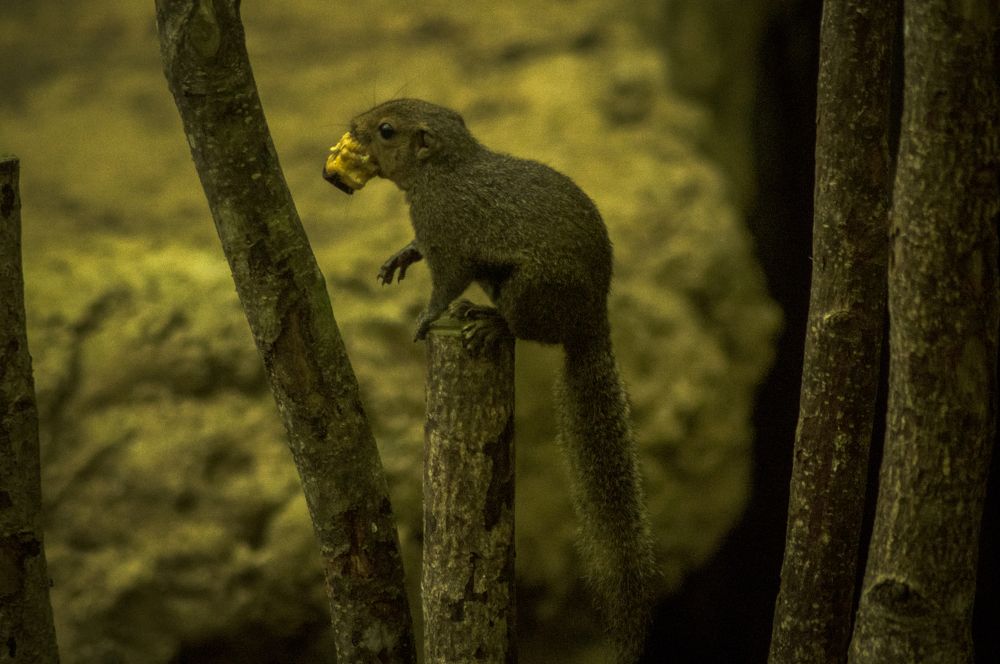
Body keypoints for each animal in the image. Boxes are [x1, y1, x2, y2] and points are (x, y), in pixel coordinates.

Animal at [325, 98, 658, 662]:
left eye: (385, 129)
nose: (353, 125)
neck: (444, 173)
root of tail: (590, 320)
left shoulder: (449, 238)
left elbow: (443, 285)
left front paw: (425, 318)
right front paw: (402, 254)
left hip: (530, 288)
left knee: (520, 325)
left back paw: (490, 323)